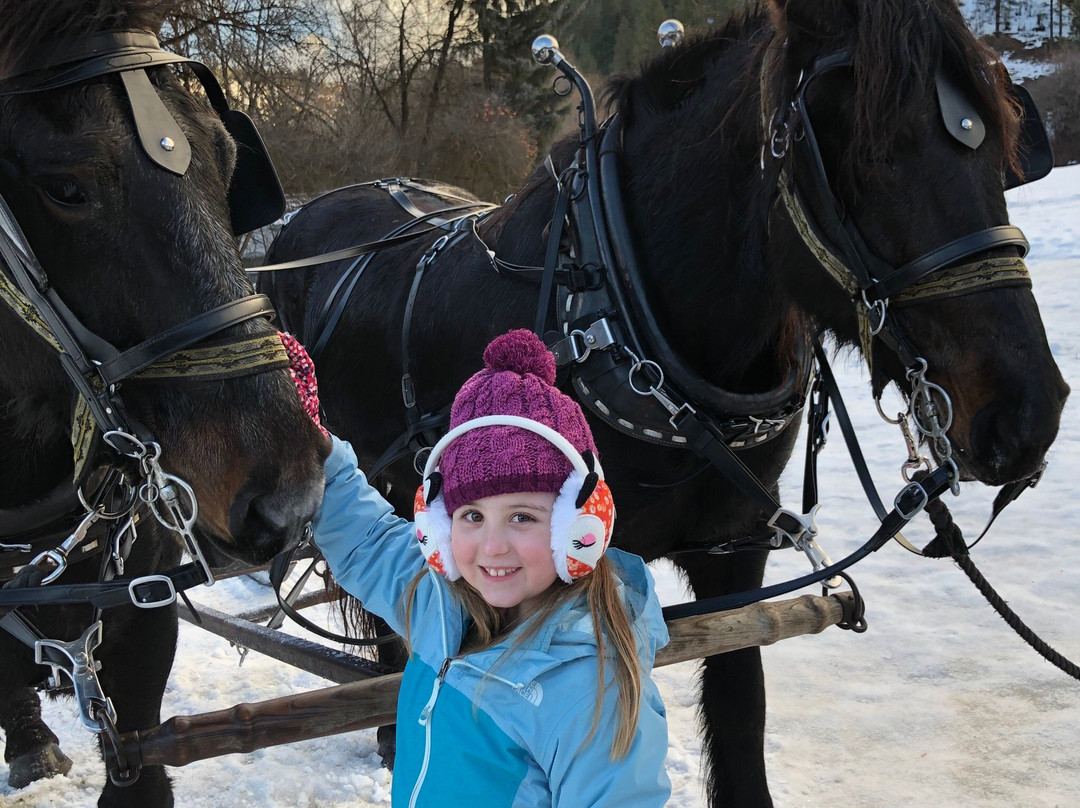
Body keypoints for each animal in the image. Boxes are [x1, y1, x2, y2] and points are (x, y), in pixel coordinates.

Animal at [257, 3, 1067, 803]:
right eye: (872, 150)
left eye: (1001, 150)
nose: (1030, 413)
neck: (614, 310)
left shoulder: (734, 551)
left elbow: (739, 716)